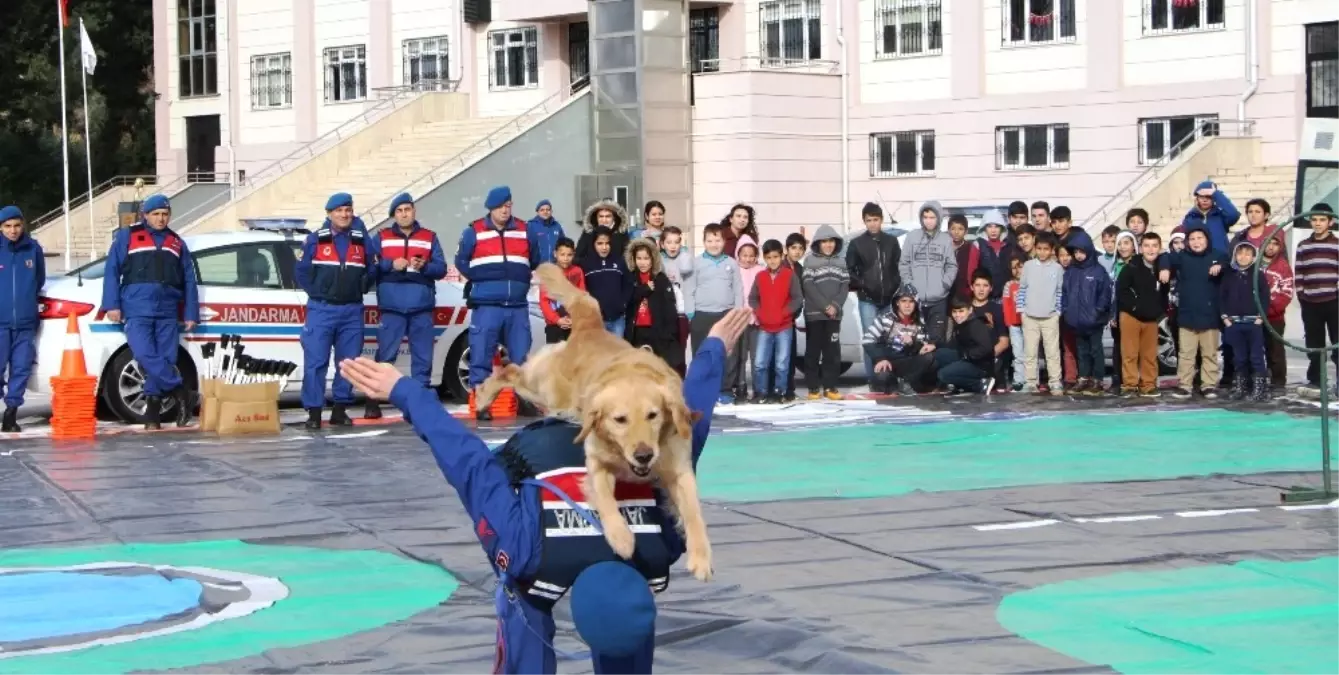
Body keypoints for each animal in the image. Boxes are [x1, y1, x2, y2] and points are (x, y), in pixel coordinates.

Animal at [479, 262, 717, 581]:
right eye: (619, 420)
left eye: (653, 415)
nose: (644, 455)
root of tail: (590, 325)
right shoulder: (596, 461)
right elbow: (605, 500)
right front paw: (621, 538)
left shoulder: (678, 469)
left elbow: (693, 512)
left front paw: (701, 557)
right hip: (545, 390)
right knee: (510, 371)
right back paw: (483, 396)